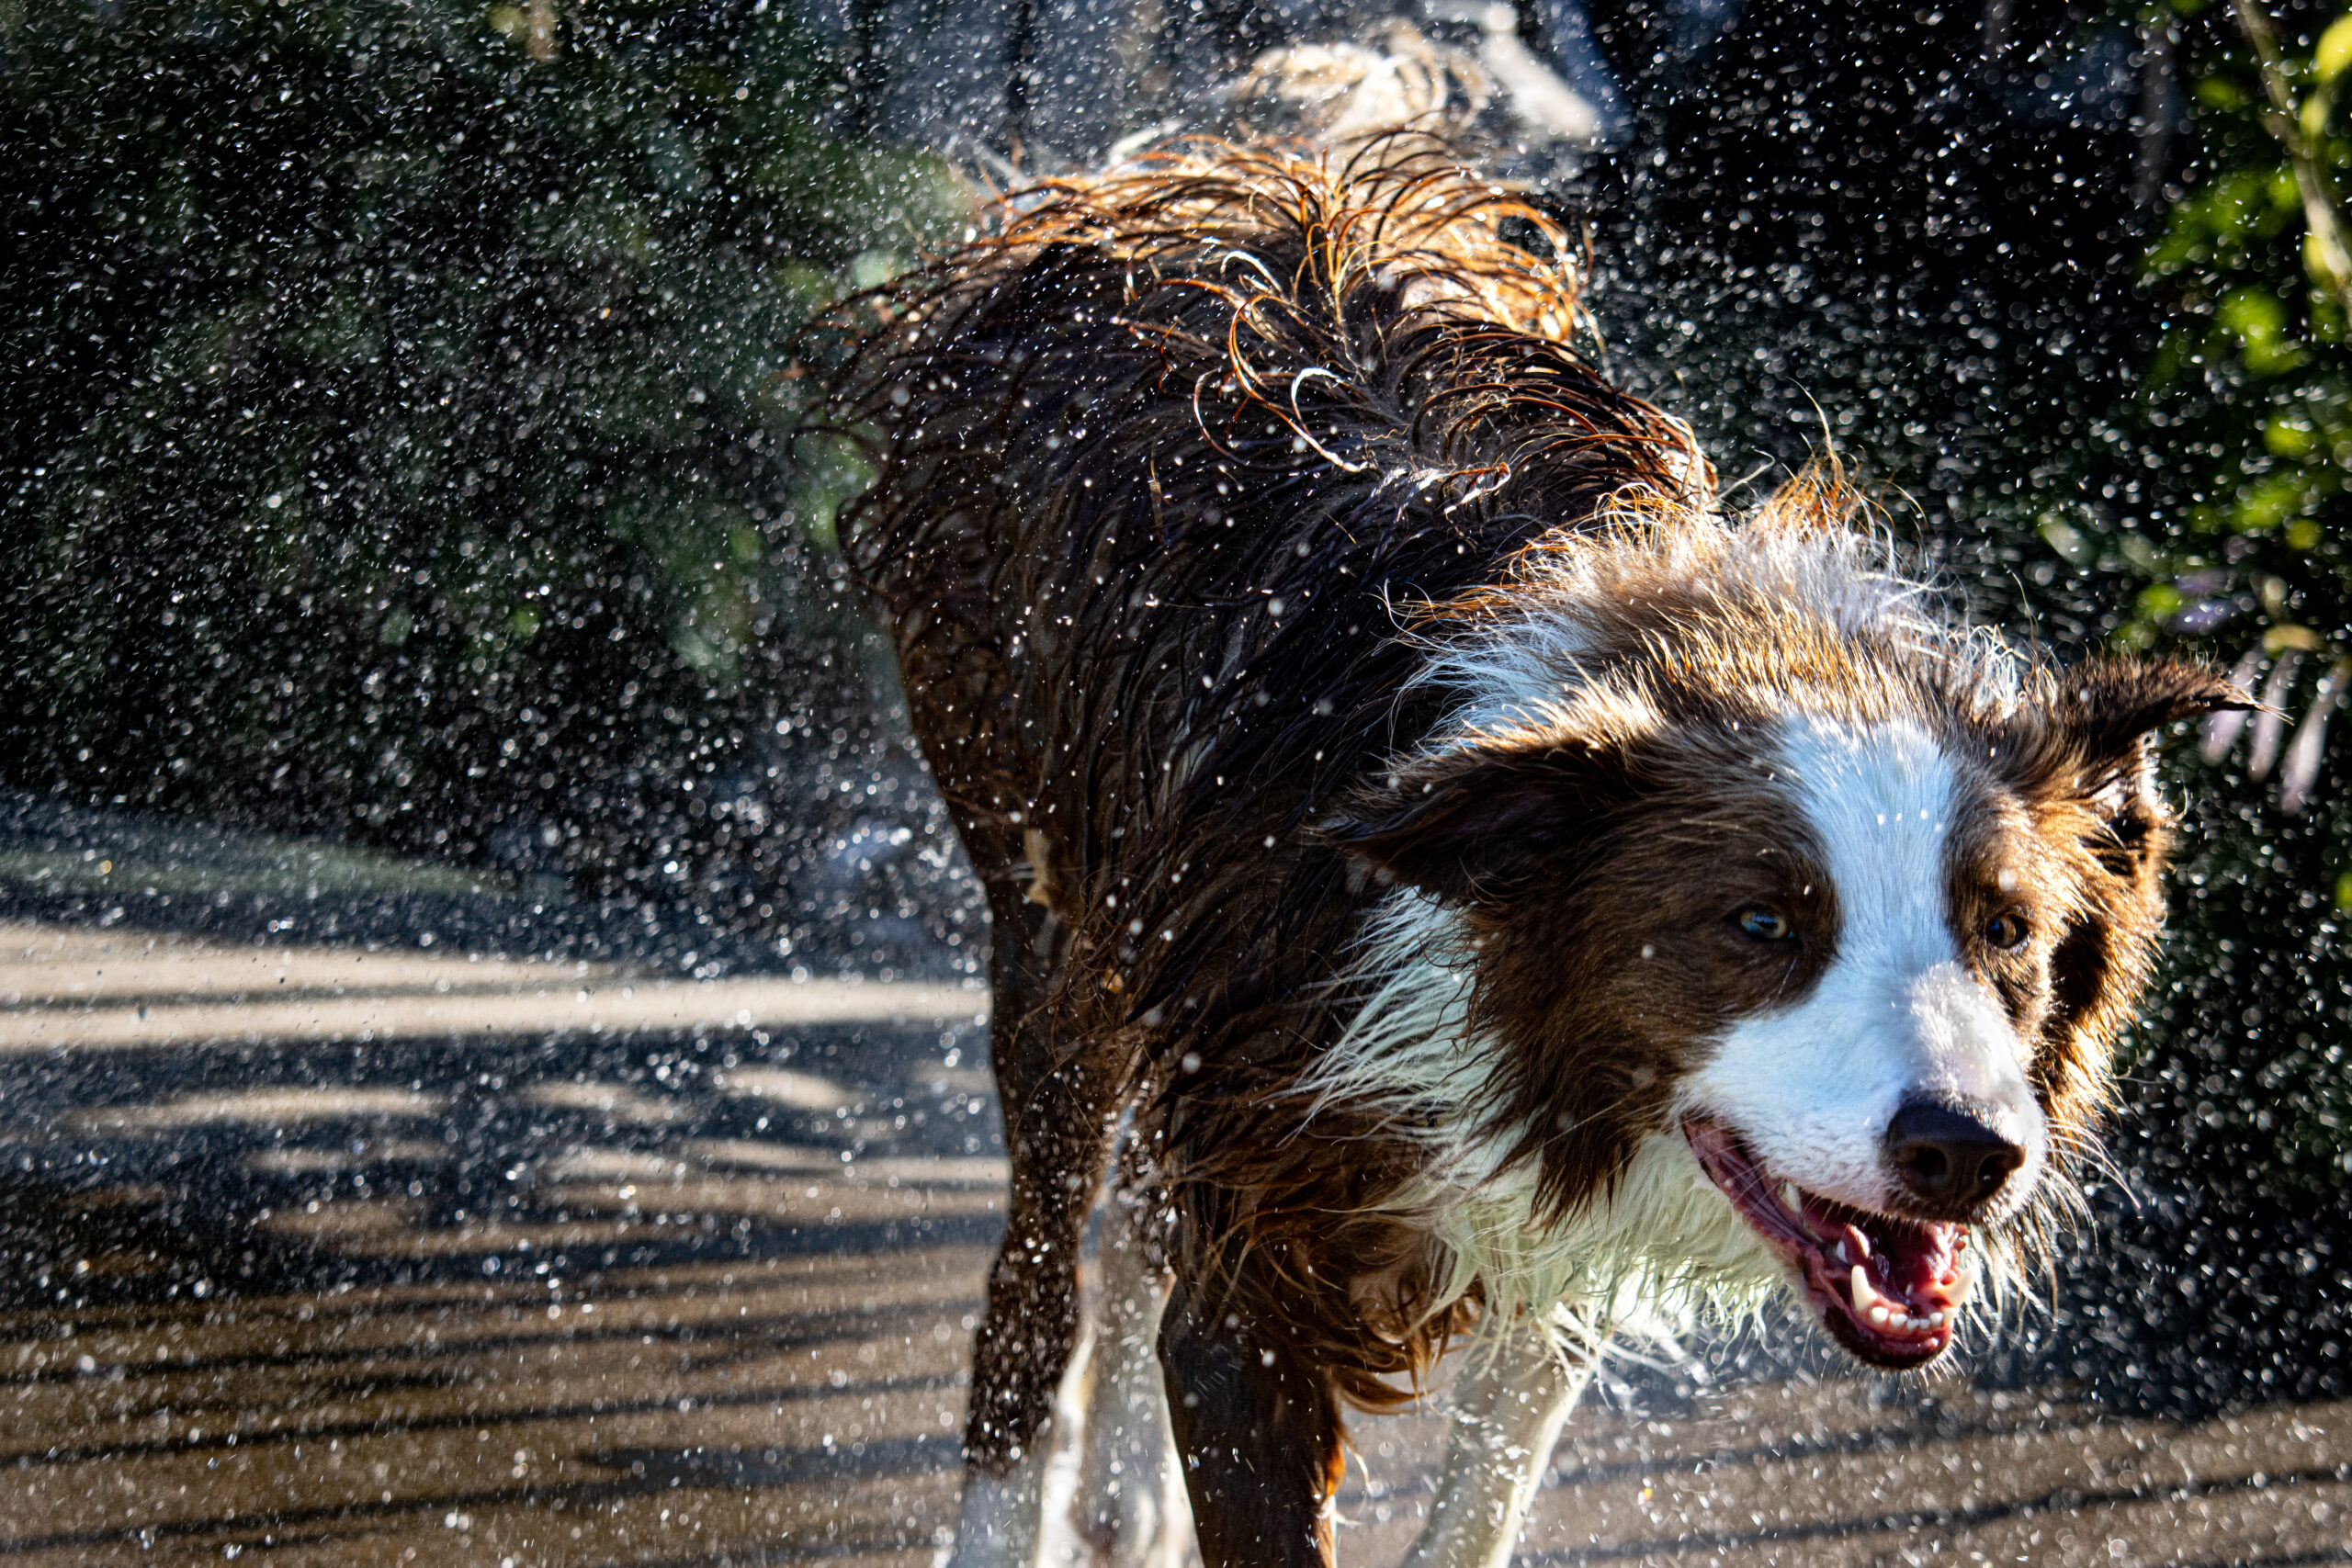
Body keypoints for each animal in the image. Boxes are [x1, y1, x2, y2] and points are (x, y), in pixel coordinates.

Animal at [832, 146, 2239, 1568]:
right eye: (1758, 925)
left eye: (2005, 929)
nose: (1965, 1151)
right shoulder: (1254, 1281)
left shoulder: (1539, 1248)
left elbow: (1476, 1499)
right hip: (1045, 915)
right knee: (1038, 1272)